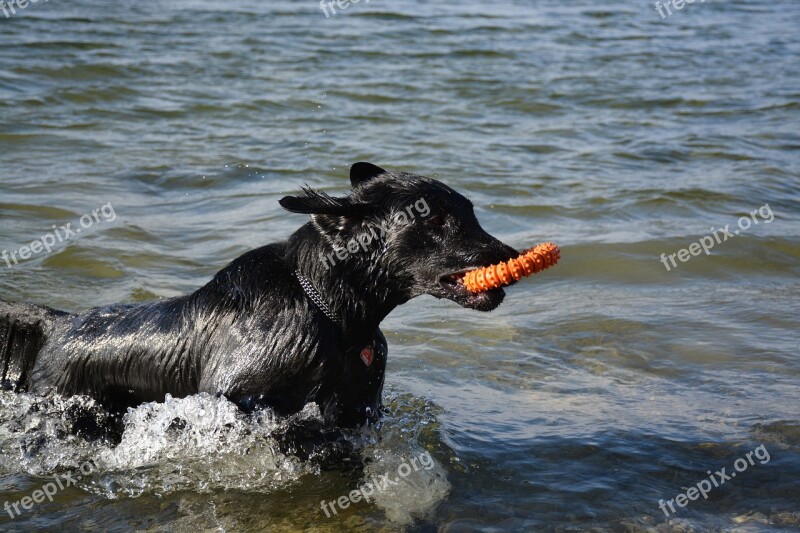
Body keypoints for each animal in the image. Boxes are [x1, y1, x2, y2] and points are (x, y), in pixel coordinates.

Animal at [0, 162, 516, 428]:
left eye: (470, 211)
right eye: (434, 219)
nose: (511, 255)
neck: (329, 311)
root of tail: (58, 323)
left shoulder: (356, 407)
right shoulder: (234, 396)